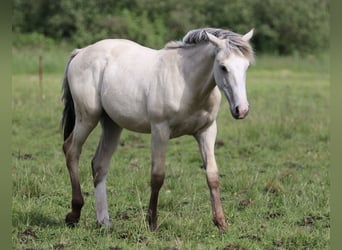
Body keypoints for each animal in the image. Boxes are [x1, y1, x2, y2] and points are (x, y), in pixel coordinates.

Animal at [61, 27, 254, 232]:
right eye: (223, 67)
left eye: (246, 66)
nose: (241, 110)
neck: (186, 82)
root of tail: (80, 52)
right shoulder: (160, 131)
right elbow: (157, 176)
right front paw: (152, 222)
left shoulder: (207, 131)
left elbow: (212, 175)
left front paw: (221, 222)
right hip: (87, 118)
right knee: (71, 151)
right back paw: (74, 213)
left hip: (112, 124)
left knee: (99, 165)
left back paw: (104, 222)